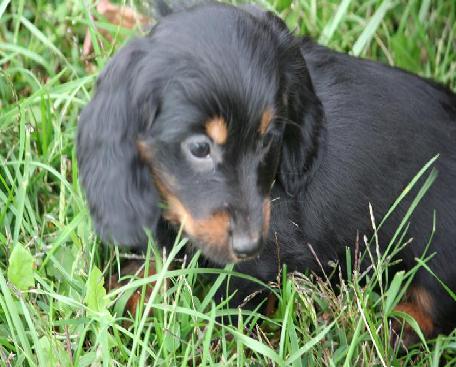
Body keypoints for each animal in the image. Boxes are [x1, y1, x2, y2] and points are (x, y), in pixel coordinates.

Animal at [78, 2, 456, 344]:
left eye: (268, 137)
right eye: (199, 148)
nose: (249, 245)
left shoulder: (264, 265)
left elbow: (230, 315)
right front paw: (126, 297)